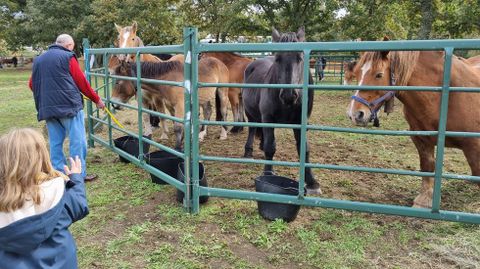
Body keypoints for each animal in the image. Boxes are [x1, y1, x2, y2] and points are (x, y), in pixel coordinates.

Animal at [242, 27, 320, 194]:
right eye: (278, 58)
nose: (289, 95)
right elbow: (270, 148)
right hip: (250, 113)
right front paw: (267, 174)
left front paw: (312, 182)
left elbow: (304, 149)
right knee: (252, 129)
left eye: (300, 57)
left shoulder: (300, 123)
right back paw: (248, 151)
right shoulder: (268, 118)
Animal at [346, 44, 480, 208]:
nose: (354, 114)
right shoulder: (421, 139)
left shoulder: (474, 145)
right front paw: (424, 201)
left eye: (379, 75)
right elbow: (427, 167)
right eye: (357, 73)